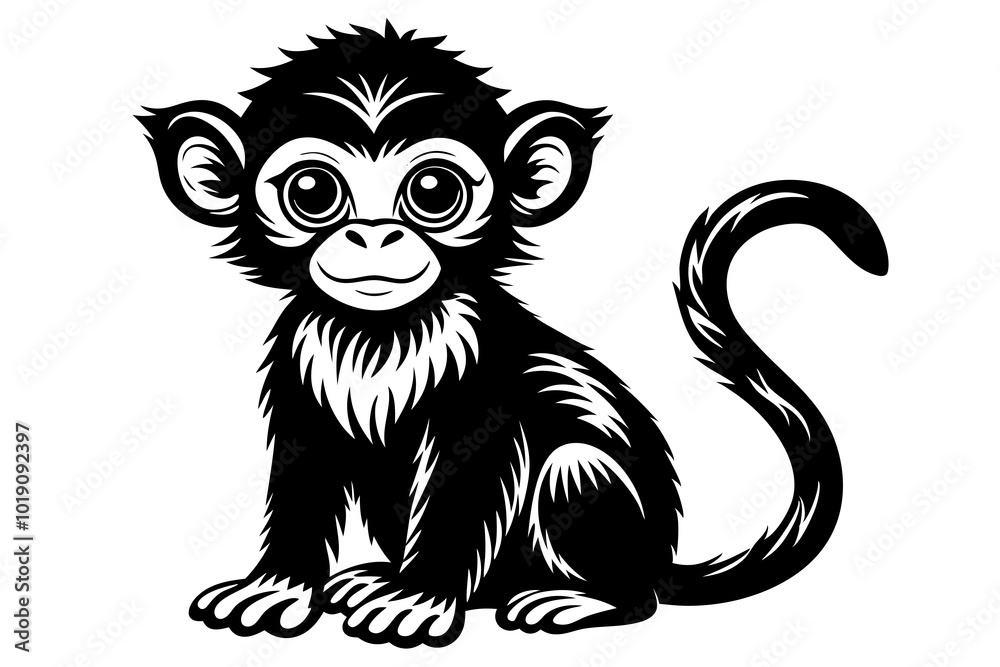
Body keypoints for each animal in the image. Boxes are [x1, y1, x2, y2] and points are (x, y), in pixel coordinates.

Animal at [139, 23, 888, 648]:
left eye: (433, 192)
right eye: (313, 193)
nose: (374, 236)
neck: (383, 331)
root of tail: (658, 559)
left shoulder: (484, 364)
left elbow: (477, 463)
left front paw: (421, 599)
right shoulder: (300, 357)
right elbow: (307, 465)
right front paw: (280, 586)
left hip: (599, 523)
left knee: (575, 471)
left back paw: (584, 598)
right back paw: (384, 577)